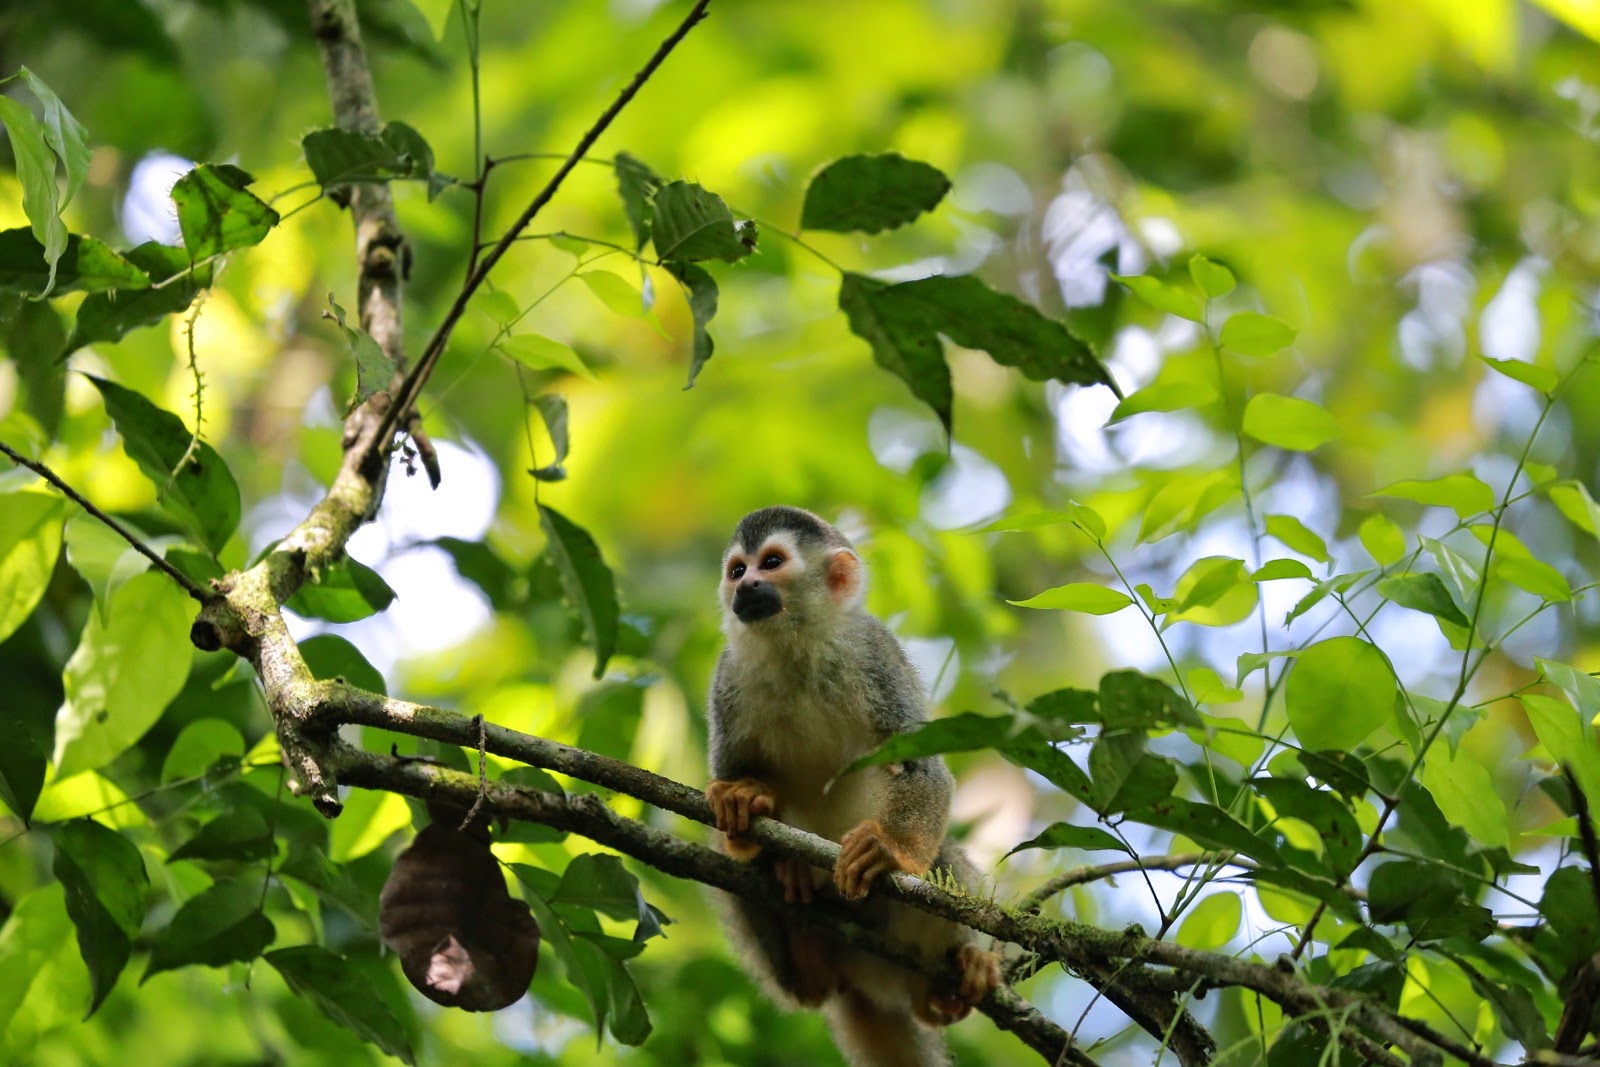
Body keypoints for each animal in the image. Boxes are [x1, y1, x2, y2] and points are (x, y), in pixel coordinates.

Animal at [704, 505, 1001, 1067]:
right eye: (736, 569)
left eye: (771, 563)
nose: (746, 585)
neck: (794, 644)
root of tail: (865, 981)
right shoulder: (727, 676)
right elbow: (729, 786)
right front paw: (742, 799)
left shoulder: (874, 652)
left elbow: (919, 765)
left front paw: (886, 847)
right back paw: (804, 942)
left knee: (940, 861)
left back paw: (953, 978)